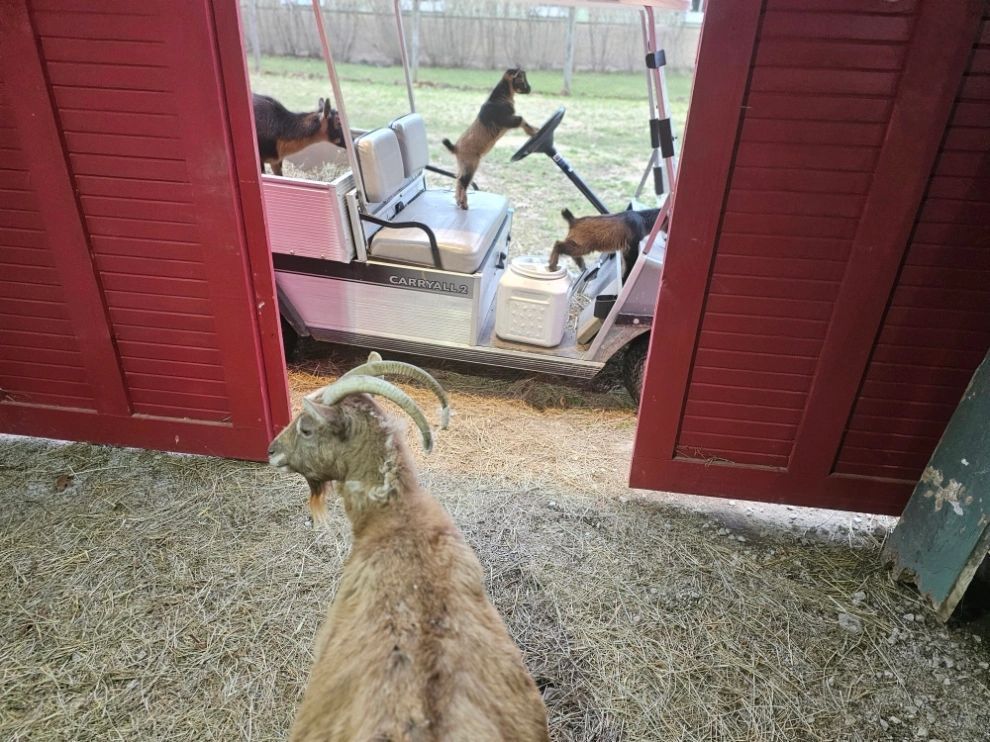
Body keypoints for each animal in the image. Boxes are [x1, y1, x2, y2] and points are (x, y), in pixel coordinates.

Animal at [442, 68, 537, 210]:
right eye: (522, 79)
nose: (530, 88)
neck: (499, 98)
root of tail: (456, 148)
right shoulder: (506, 120)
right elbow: (521, 119)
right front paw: (533, 131)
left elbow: (522, 120)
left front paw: (534, 130)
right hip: (470, 164)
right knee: (463, 183)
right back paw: (464, 204)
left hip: (462, 165)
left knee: (458, 181)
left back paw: (459, 202)